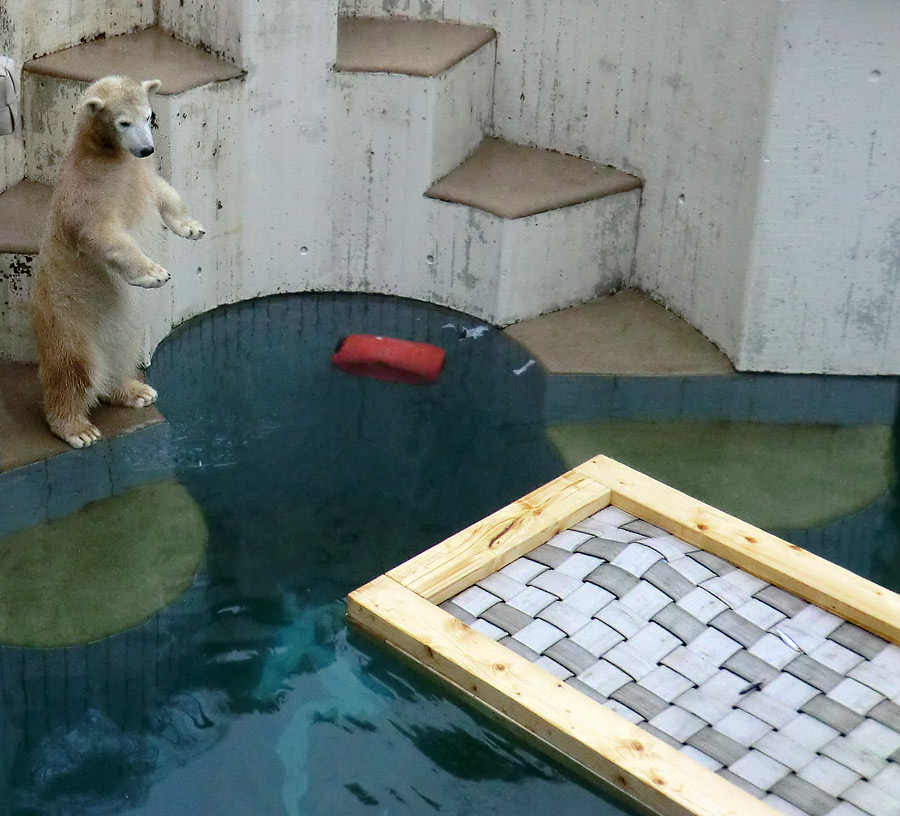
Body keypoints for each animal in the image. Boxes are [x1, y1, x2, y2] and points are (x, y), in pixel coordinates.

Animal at [33, 75, 204, 446]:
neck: (105, 156)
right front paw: (154, 273)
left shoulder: (139, 177)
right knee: (74, 369)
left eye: (149, 116)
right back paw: (77, 428)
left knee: (121, 354)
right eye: (123, 122)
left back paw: (135, 391)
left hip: (118, 329)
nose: (146, 149)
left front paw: (190, 226)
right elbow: (103, 235)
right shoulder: (88, 191)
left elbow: (163, 192)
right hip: (69, 321)